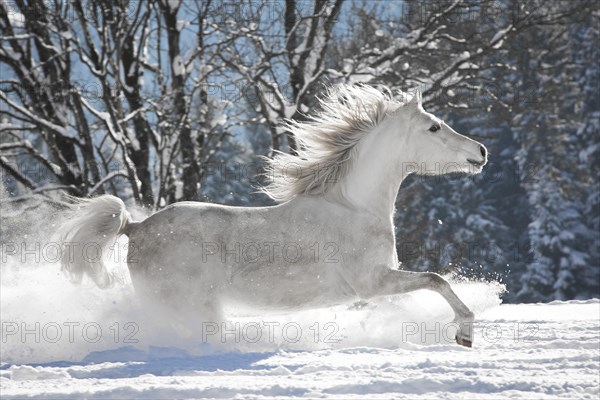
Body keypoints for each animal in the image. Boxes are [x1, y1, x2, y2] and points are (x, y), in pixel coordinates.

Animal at [58, 84, 488, 346]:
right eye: (433, 127)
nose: (481, 151)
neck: (354, 207)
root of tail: (136, 227)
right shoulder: (372, 282)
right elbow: (436, 279)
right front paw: (465, 333)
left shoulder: (376, 286)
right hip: (189, 305)